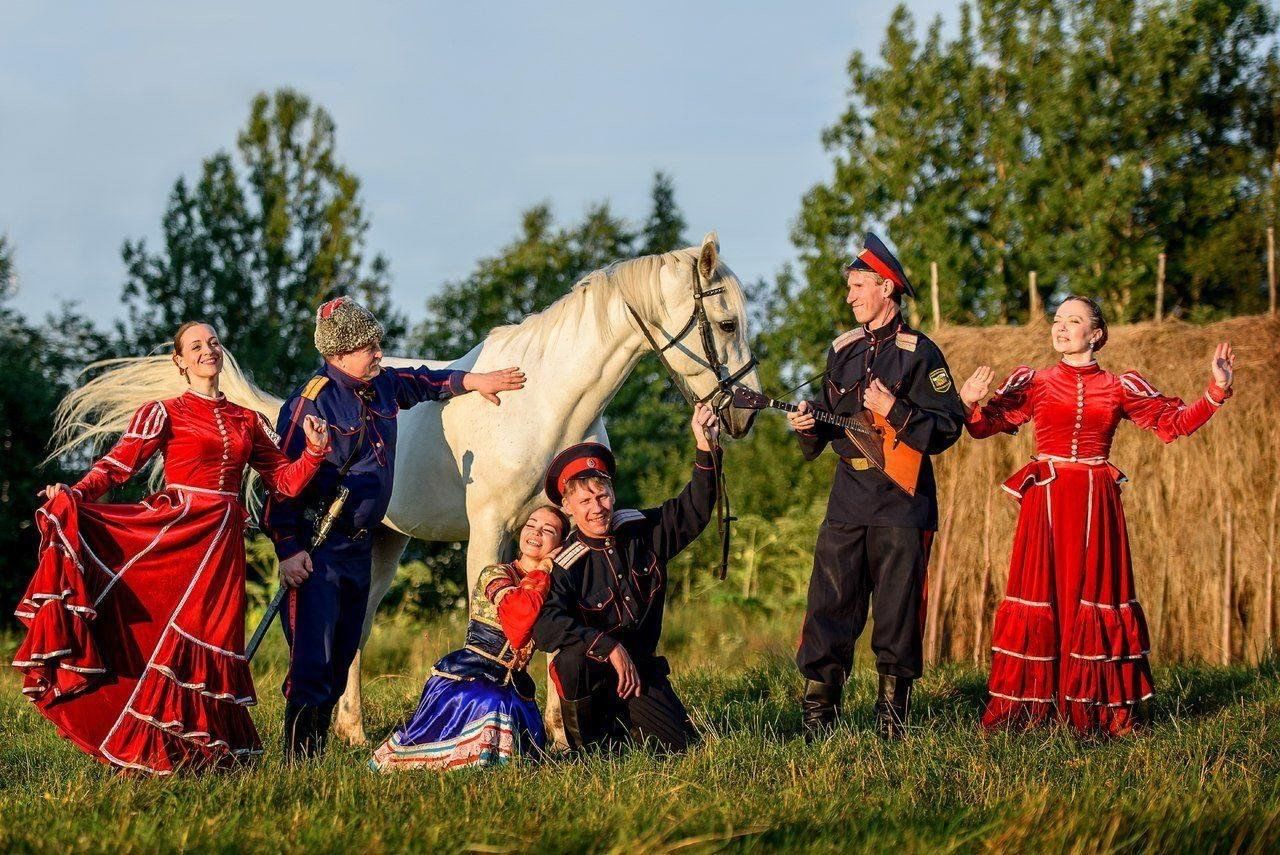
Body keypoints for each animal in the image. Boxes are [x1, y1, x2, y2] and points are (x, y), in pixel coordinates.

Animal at [52, 231, 757, 742]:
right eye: (724, 323)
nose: (745, 413)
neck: (545, 402)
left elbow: (562, 627)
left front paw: (561, 735)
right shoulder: (490, 532)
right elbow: (492, 622)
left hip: (385, 545)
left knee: (357, 629)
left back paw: (351, 730)